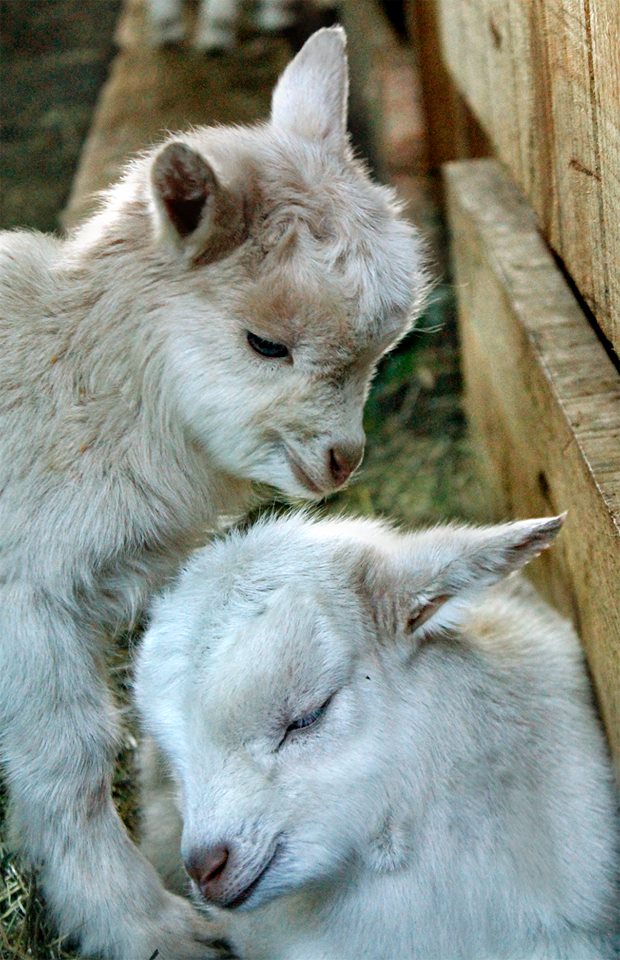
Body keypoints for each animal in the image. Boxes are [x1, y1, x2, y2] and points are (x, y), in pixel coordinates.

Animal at [0, 30, 426, 960]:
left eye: (383, 346)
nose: (340, 461)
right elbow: (72, 761)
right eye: (264, 342)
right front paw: (146, 926)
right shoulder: (21, 602)